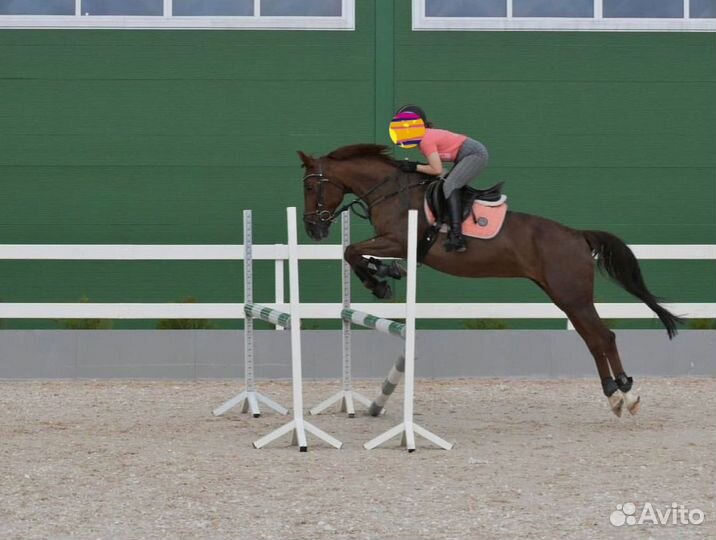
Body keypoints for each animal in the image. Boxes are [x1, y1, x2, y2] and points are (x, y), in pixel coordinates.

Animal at [297, 143, 682, 417]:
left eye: (312, 188)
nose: (313, 229)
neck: (391, 190)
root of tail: (577, 235)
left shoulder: (400, 241)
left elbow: (351, 250)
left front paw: (381, 280)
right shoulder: (393, 242)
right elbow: (354, 252)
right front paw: (384, 274)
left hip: (572, 296)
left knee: (603, 337)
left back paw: (626, 395)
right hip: (565, 297)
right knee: (593, 339)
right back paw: (614, 396)